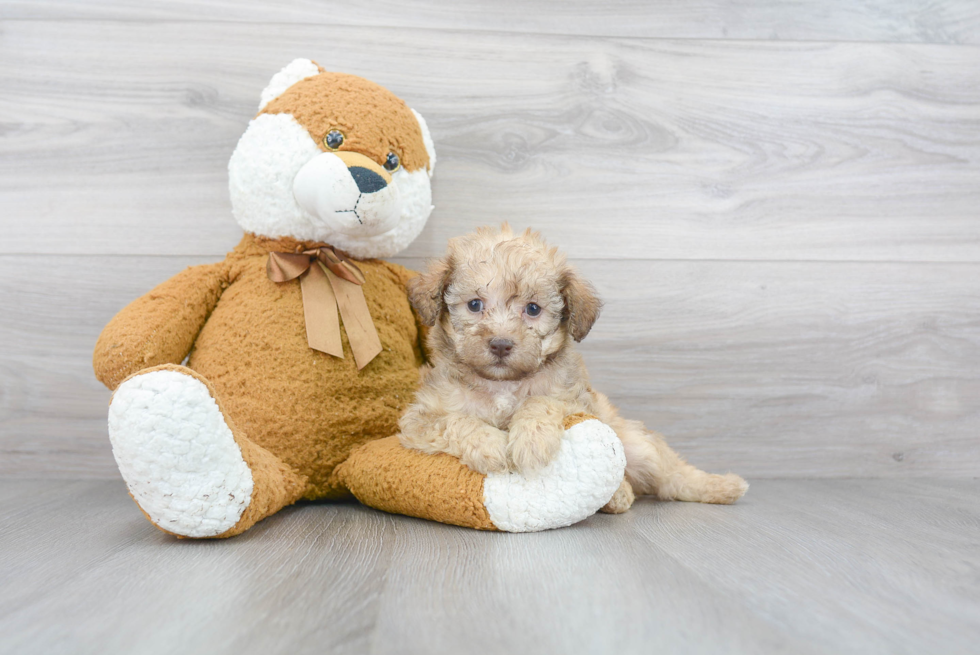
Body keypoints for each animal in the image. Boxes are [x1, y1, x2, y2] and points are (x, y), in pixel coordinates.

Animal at [394, 226, 748, 512]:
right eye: (475, 305)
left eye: (533, 309)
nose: (501, 344)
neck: (503, 384)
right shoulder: (418, 420)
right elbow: (455, 421)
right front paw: (490, 444)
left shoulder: (575, 399)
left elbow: (541, 401)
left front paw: (531, 440)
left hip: (637, 445)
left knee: (672, 476)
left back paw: (720, 486)